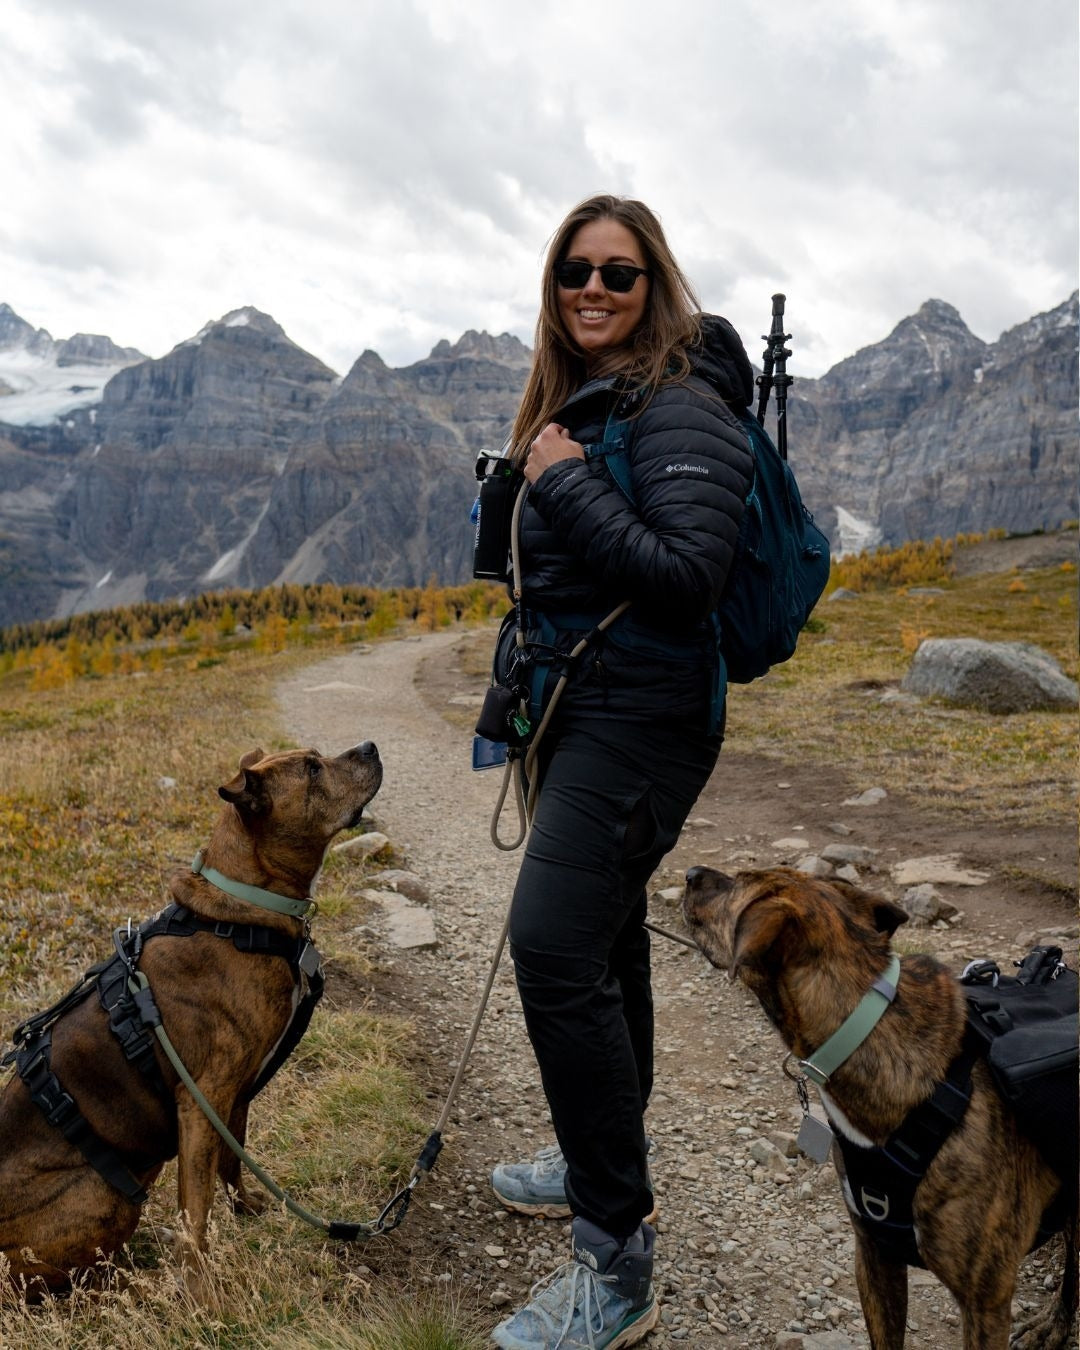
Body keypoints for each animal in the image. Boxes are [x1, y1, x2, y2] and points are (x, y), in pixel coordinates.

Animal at [0, 745, 380, 1301]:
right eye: (312, 769)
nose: (371, 747)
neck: (242, 910)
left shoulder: (235, 1097)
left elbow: (232, 1163)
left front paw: (246, 1211)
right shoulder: (201, 1104)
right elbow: (195, 1211)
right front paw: (201, 1291)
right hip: (106, 1195)